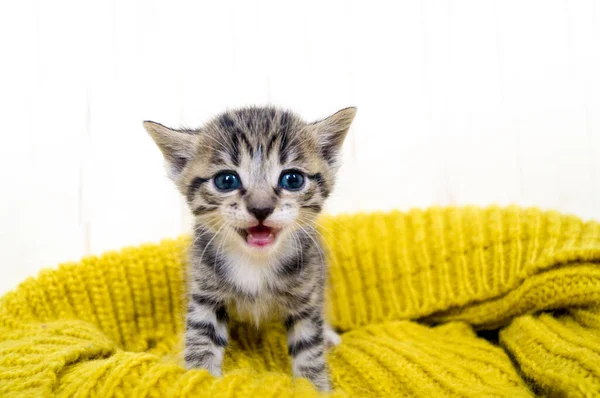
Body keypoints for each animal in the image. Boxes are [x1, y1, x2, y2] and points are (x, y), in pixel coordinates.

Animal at [143, 106, 354, 392]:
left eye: (293, 179)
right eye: (226, 180)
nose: (261, 208)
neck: (255, 262)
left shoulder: (307, 293)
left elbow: (309, 346)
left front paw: (315, 387)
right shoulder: (205, 292)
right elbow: (201, 337)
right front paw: (200, 378)